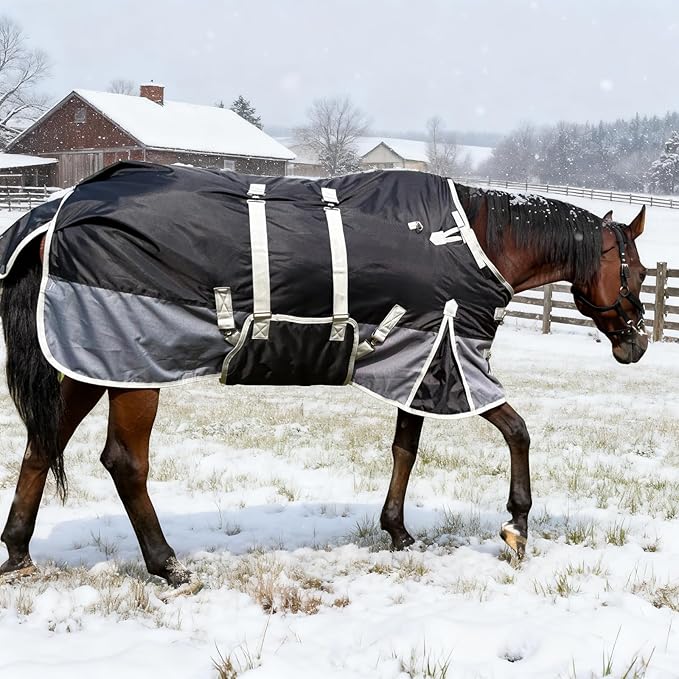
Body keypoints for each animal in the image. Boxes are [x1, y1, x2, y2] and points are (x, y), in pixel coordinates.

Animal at [0, 166, 647, 592]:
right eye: (638, 271)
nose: (636, 344)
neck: (472, 240)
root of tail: (55, 212)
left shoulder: (418, 362)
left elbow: (405, 448)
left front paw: (397, 530)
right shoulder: (458, 361)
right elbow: (518, 432)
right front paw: (516, 527)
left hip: (87, 360)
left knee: (42, 445)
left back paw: (18, 552)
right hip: (135, 366)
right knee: (124, 462)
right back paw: (167, 565)